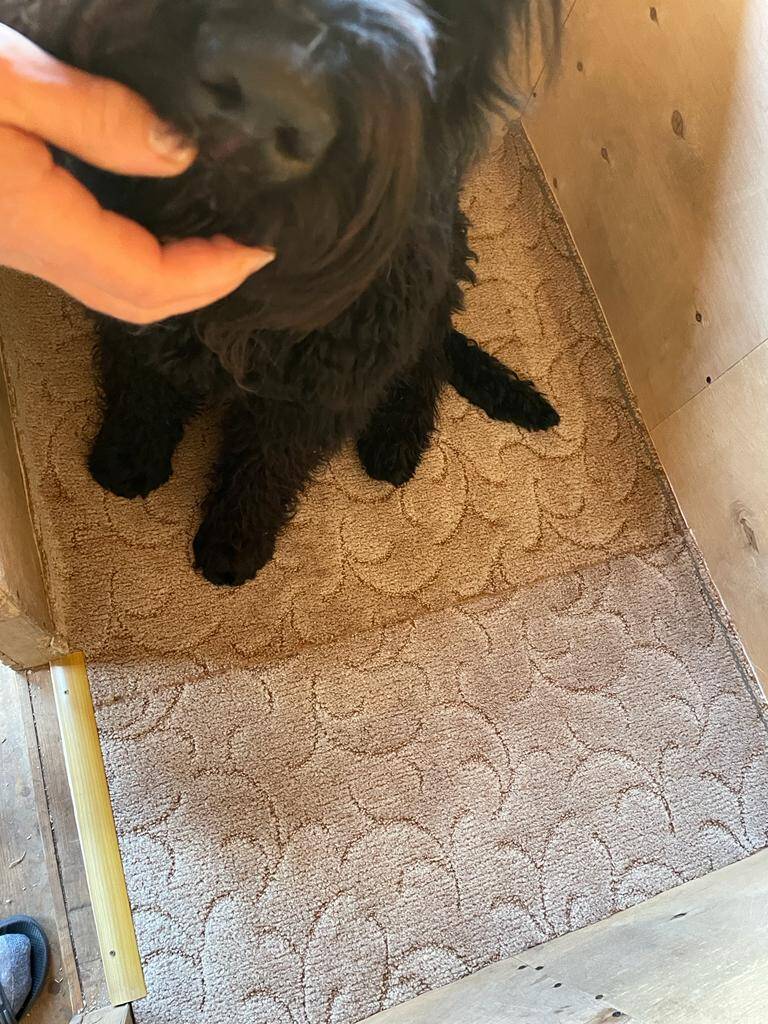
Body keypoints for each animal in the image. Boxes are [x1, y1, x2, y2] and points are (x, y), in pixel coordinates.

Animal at [54, 0, 561, 586]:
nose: (268, 82)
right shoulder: (144, 317)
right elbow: (142, 392)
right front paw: (128, 458)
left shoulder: (310, 394)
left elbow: (266, 467)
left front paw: (236, 542)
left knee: (425, 362)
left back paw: (395, 441)